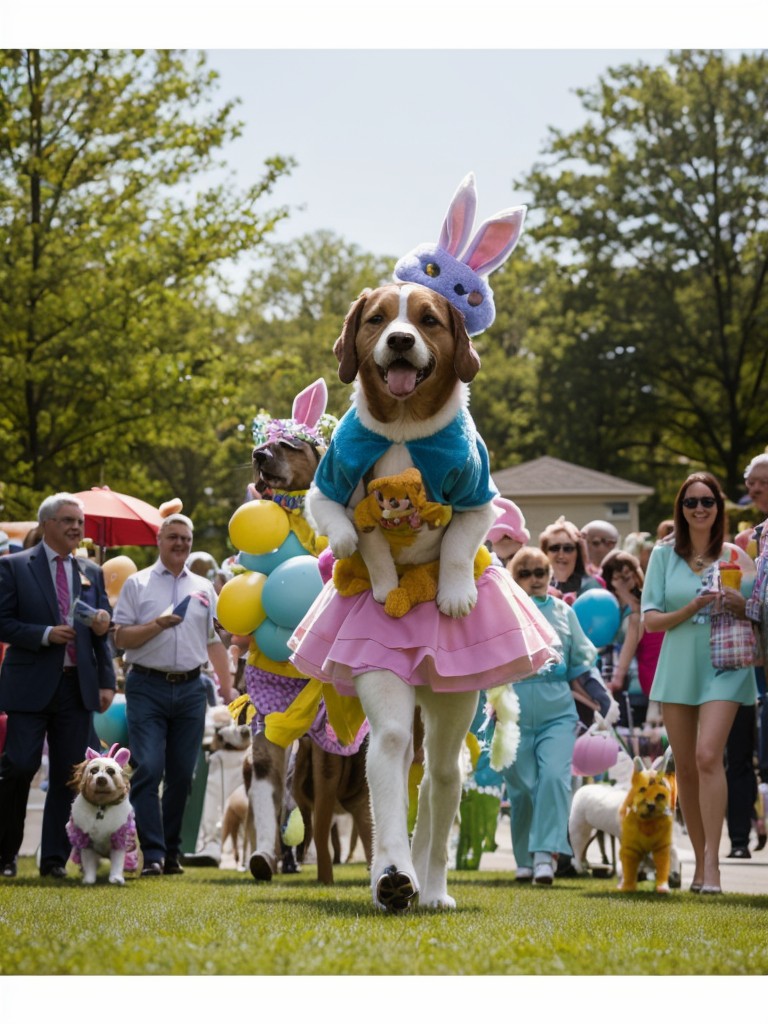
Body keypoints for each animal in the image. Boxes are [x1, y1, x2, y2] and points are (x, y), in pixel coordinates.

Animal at [67, 741, 139, 884]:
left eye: (111, 771)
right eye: (93, 770)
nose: (101, 779)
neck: (101, 805)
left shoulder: (119, 838)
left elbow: (118, 861)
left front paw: (116, 878)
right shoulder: (85, 840)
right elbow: (88, 862)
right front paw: (88, 879)